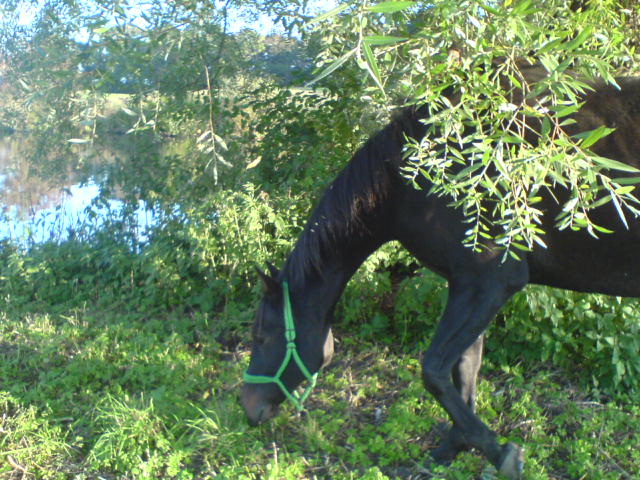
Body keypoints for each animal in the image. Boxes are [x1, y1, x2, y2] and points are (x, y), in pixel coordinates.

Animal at [239, 73, 640, 478]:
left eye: (262, 336)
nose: (248, 407)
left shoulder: (488, 284)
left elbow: (433, 371)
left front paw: (498, 452)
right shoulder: (467, 286)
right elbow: (464, 370)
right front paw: (457, 444)